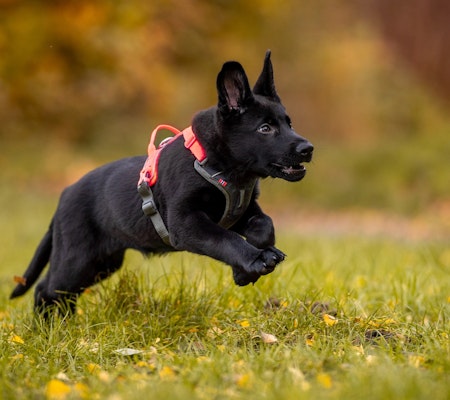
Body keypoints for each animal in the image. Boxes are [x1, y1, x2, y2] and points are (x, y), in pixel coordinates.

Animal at [10, 50, 312, 316]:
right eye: (265, 128)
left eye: (289, 123)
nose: (308, 149)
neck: (219, 164)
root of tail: (64, 195)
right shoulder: (186, 221)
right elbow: (225, 239)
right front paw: (253, 261)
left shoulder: (241, 210)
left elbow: (265, 225)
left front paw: (247, 267)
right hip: (78, 257)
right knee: (46, 289)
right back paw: (48, 329)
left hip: (102, 262)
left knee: (59, 292)